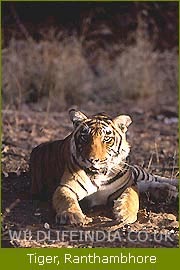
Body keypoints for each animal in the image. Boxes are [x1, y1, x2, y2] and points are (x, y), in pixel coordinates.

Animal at [30, 109, 178, 226]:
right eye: (84, 137)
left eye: (106, 138)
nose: (92, 160)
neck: (99, 174)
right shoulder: (66, 187)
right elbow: (66, 200)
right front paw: (72, 215)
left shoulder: (128, 185)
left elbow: (132, 197)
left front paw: (125, 213)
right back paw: (167, 191)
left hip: (136, 172)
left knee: (153, 177)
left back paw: (171, 188)